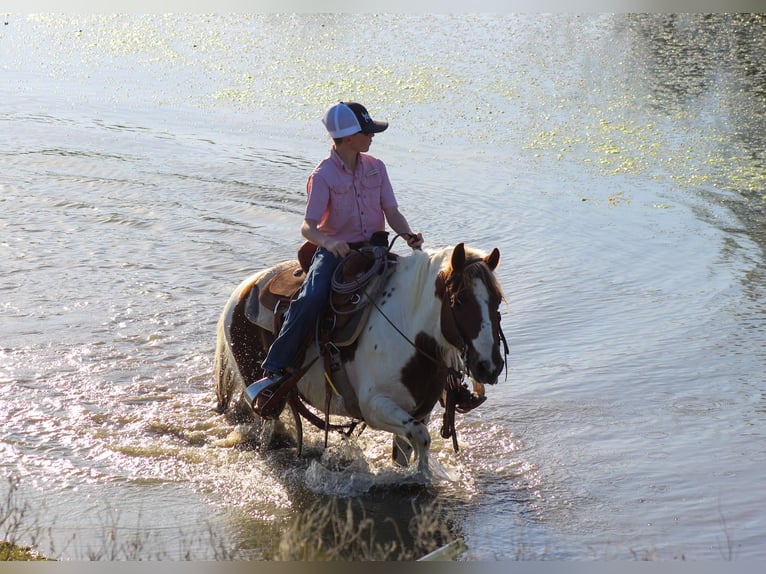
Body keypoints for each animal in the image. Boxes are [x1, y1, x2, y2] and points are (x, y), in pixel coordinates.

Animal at [213, 242, 506, 476]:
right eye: (458, 300)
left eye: (497, 300)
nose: (489, 366)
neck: (408, 329)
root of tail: (243, 289)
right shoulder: (374, 406)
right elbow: (422, 439)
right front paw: (425, 475)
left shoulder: (418, 410)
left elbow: (407, 448)